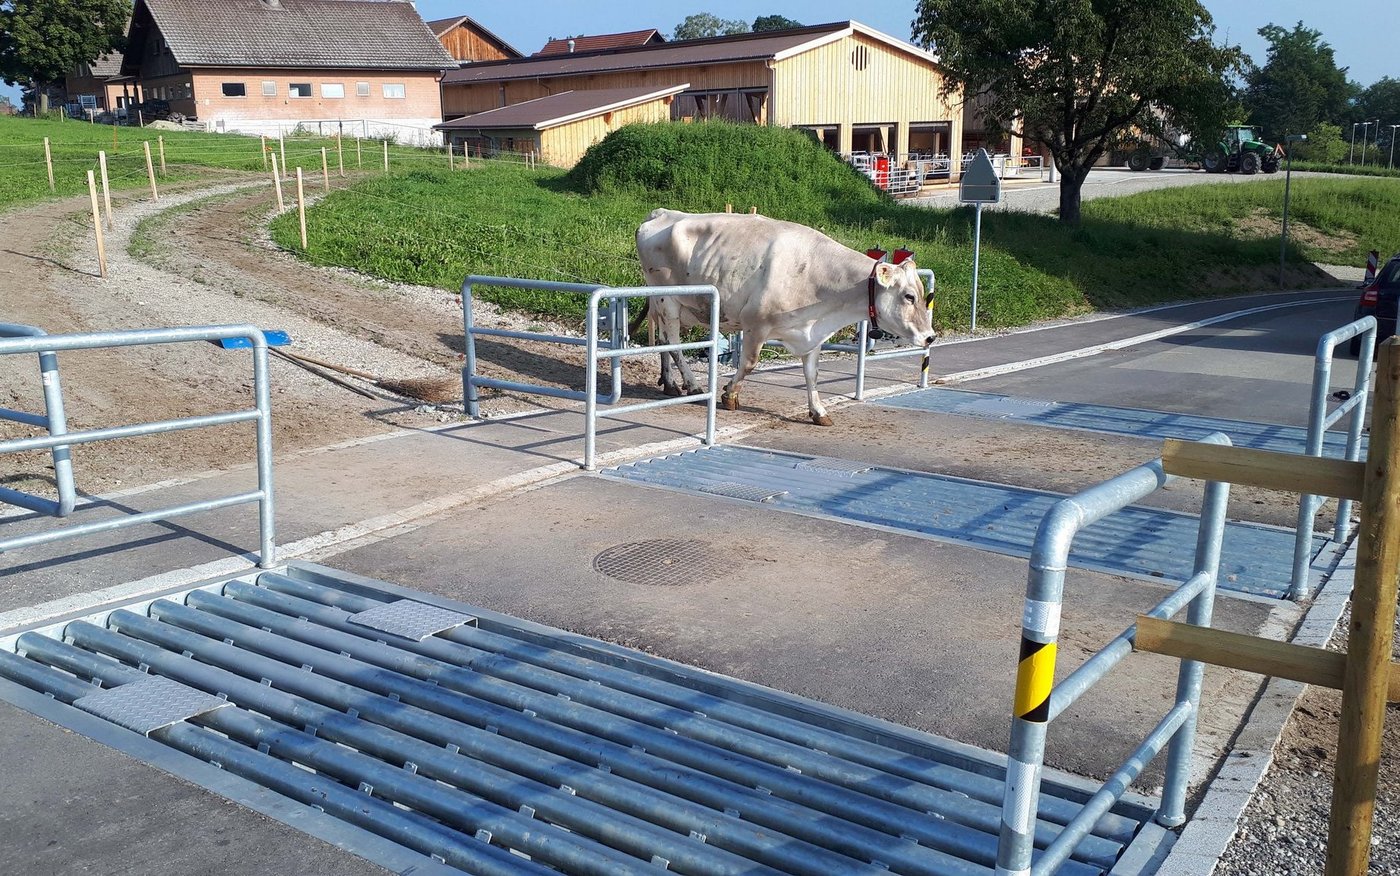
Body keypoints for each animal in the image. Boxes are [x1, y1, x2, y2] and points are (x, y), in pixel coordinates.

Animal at [635, 208, 936, 426]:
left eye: (923, 295)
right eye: (909, 296)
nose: (930, 337)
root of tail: (660, 213)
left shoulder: (811, 334)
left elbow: (812, 375)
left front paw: (818, 411)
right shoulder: (756, 324)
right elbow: (749, 364)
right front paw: (729, 395)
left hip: (666, 305)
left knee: (662, 341)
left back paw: (670, 383)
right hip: (668, 300)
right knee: (673, 344)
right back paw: (693, 385)